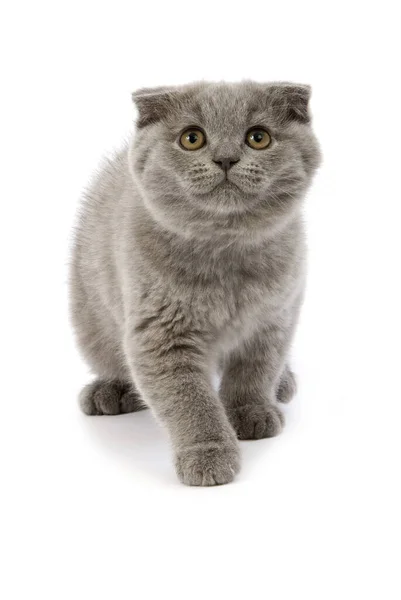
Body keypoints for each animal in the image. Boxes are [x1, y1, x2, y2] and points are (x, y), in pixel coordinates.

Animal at [69, 82, 318, 488]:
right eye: (192, 138)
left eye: (259, 137)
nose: (226, 158)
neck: (225, 250)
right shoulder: (160, 335)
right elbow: (189, 400)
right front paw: (208, 454)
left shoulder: (274, 318)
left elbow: (255, 371)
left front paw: (252, 413)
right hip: (89, 316)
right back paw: (109, 392)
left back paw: (282, 384)